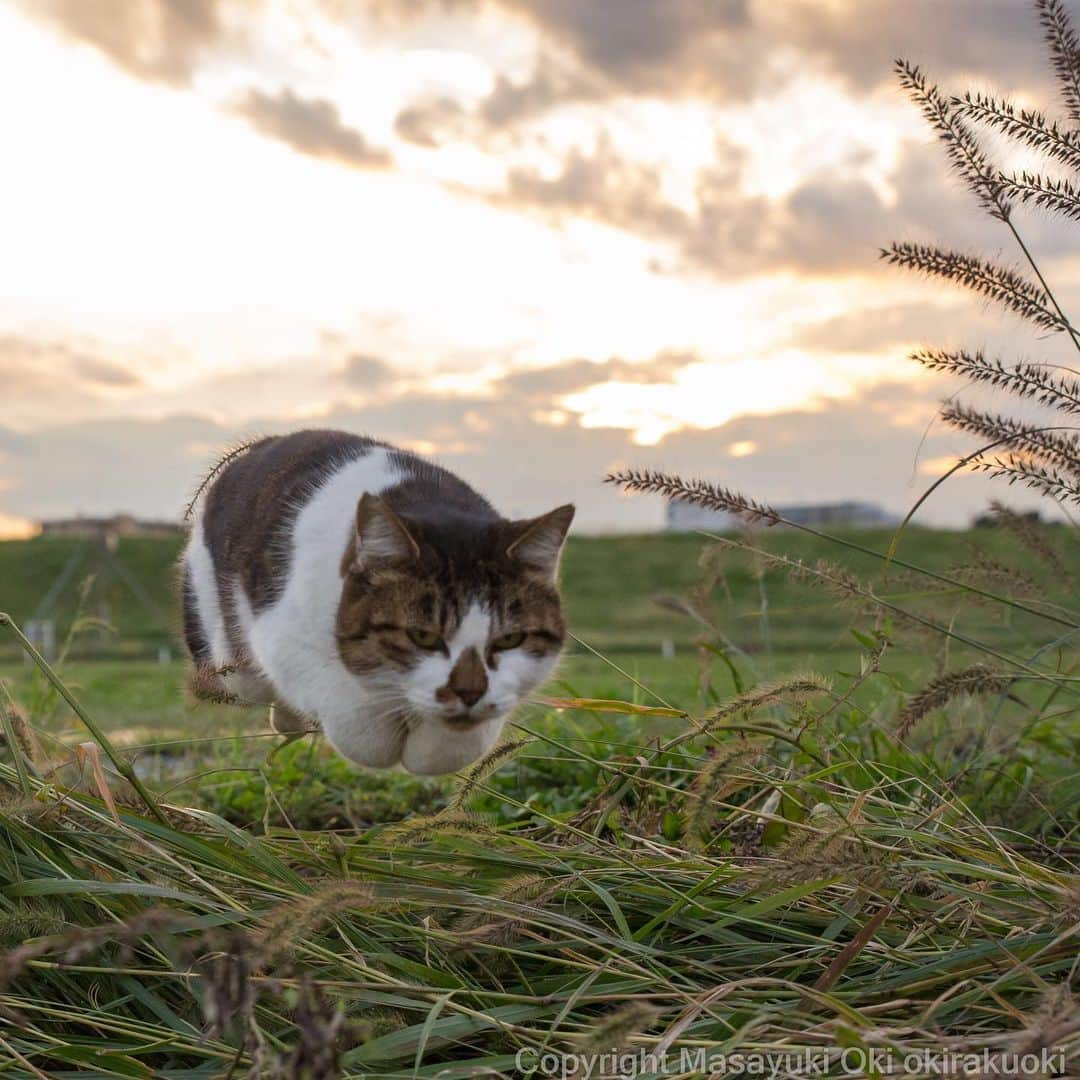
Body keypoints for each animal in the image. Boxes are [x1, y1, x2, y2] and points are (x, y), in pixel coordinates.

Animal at [179, 429, 574, 777]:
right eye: (422, 636)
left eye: (510, 639)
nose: (469, 691)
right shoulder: (281, 636)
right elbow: (358, 721)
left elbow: (454, 747)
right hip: (230, 656)